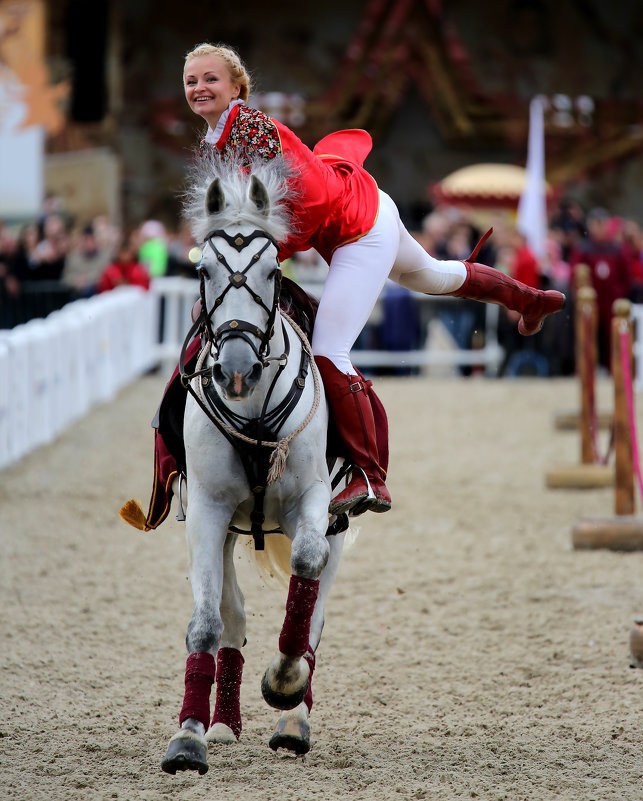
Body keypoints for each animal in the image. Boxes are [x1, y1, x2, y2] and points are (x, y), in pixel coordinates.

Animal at [162, 156, 348, 776]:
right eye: (204, 272)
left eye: (271, 270)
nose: (238, 370)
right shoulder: (207, 511)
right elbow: (207, 622)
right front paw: (188, 737)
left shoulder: (314, 500)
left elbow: (307, 571)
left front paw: (284, 682)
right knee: (233, 616)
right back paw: (221, 724)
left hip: (339, 521)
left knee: (315, 611)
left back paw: (294, 721)